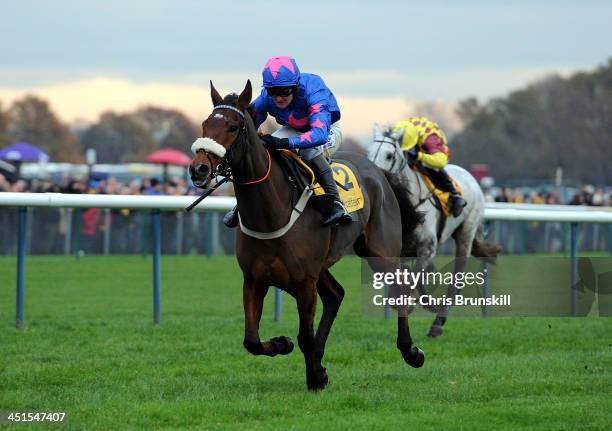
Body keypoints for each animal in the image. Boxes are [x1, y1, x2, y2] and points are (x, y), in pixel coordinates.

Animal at [191, 81, 426, 392]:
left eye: (232, 127)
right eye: (205, 124)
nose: (198, 169)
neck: (271, 212)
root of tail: (379, 170)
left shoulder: (304, 282)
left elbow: (305, 335)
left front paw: (313, 376)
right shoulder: (254, 279)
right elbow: (252, 340)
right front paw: (286, 346)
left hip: (379, 251)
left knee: (401, 289)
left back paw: (410, 351)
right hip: (322, 266)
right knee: (335, 295)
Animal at [366, 124, 500, 338]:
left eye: (389, 155)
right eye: (368, 152)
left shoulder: (427, 247)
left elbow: (416, 278)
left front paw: (416, 303)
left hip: (466, 233)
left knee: (457, 280)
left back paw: (438, 323)